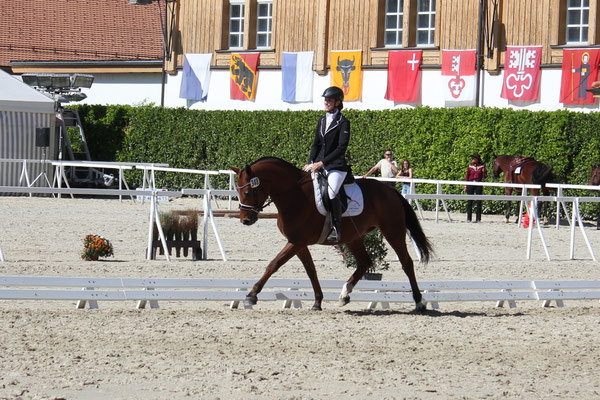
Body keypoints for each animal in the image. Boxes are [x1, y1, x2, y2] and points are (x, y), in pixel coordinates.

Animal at [230, 158, 432, 310]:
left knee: (406, 262)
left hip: (393, 231)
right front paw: (317, 302)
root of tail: (390, 190)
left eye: (247, 191)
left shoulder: (296, 242)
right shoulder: (298, 242)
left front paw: (251, 295)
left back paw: (419, 302)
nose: (246, 220)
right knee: (365, 263)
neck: (294, 195)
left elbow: (273, 264)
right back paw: (344, 294)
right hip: (353, 237)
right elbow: (311, 270)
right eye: (237, 190)